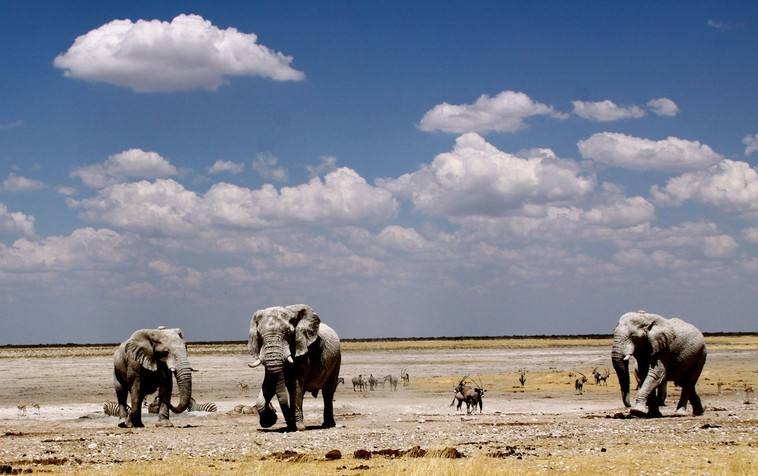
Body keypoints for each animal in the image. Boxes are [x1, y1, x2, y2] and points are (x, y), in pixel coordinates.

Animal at [248, 304, 342, 432]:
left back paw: (328, 425)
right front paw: (269, 421)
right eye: (259, 335)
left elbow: (295, 385)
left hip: (337, 359)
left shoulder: (303, 350)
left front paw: (299, 428)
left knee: (327, 391)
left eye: (288, 333)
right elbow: (269, 383)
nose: (274, 411)